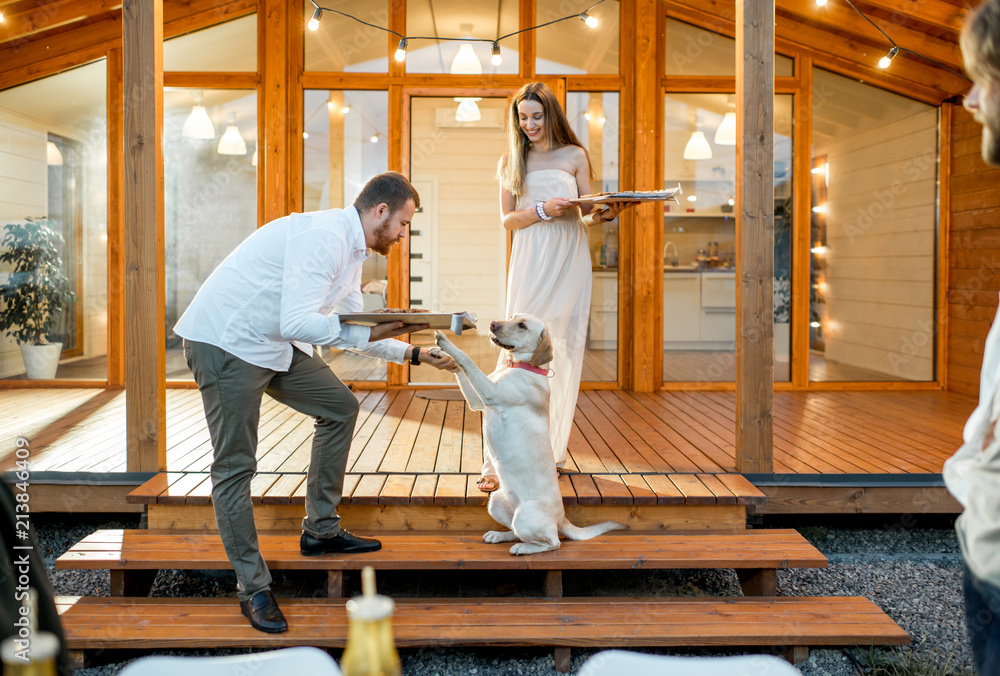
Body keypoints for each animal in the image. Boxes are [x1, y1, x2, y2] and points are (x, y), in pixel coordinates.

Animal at [434, 312, 620, 556]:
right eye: (512, 317)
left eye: (522, 325)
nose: (493, 324)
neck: (519, 366)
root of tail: (561, 518)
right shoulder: (477, 401)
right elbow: (462, 370)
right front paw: (440, 354)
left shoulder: (490, 392)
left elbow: (467, 360)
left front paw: (446, 342)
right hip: (496, 502)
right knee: (515, 530)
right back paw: (499, 536)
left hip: (526, 516)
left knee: (552, 542)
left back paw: (522, 548)